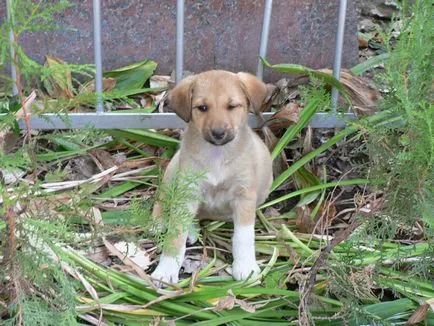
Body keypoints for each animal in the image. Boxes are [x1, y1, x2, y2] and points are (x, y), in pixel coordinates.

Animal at [152, 70, 272, 284]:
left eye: (232, 106)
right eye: (202, 108)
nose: (218, 133)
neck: (217, 155)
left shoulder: (244, 196)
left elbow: (243, 236)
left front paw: (246, 267)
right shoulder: (187, 190)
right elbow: (175, 234)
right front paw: (166, 269)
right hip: (173, 172)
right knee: (163, 198)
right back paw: (159, 222)